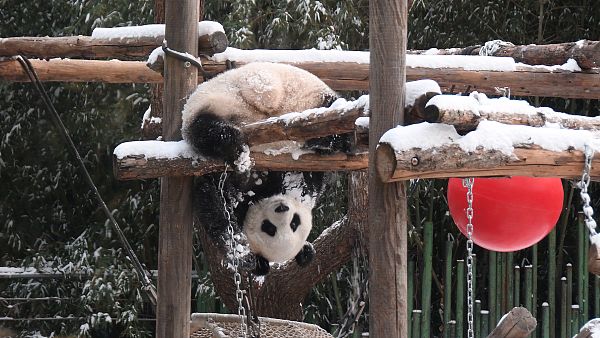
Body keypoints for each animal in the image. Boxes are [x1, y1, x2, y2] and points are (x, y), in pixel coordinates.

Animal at [183, 62, 342, 274]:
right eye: (269, 228)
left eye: (294, 223)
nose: (282, 207)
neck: (266, 192)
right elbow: (214, 196)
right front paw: (242, 254)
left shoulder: (299, 180)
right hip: (215, 101)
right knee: (206, 130)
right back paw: (238, 151)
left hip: (306, 99)